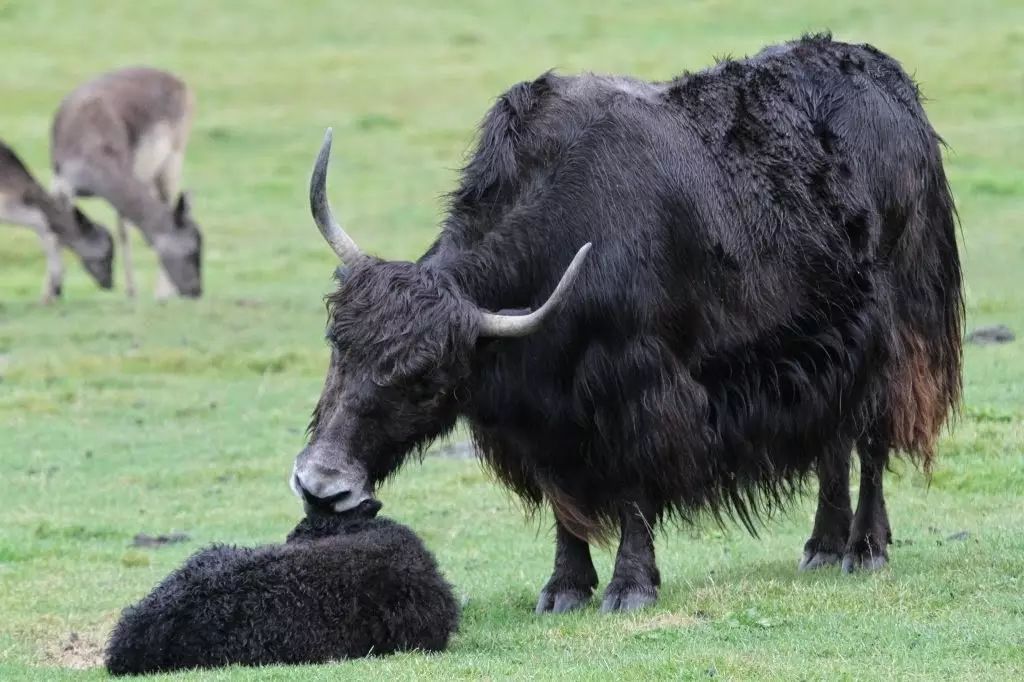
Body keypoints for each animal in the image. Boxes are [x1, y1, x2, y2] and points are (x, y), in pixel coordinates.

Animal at [51, 65, 201, 294]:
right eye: (193, 250)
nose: (197, 290)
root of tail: (182, 82)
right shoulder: (61, 181)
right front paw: (49, 294)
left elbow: (123, 229)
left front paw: (133, 291)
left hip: (173, 159)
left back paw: (162, 292)